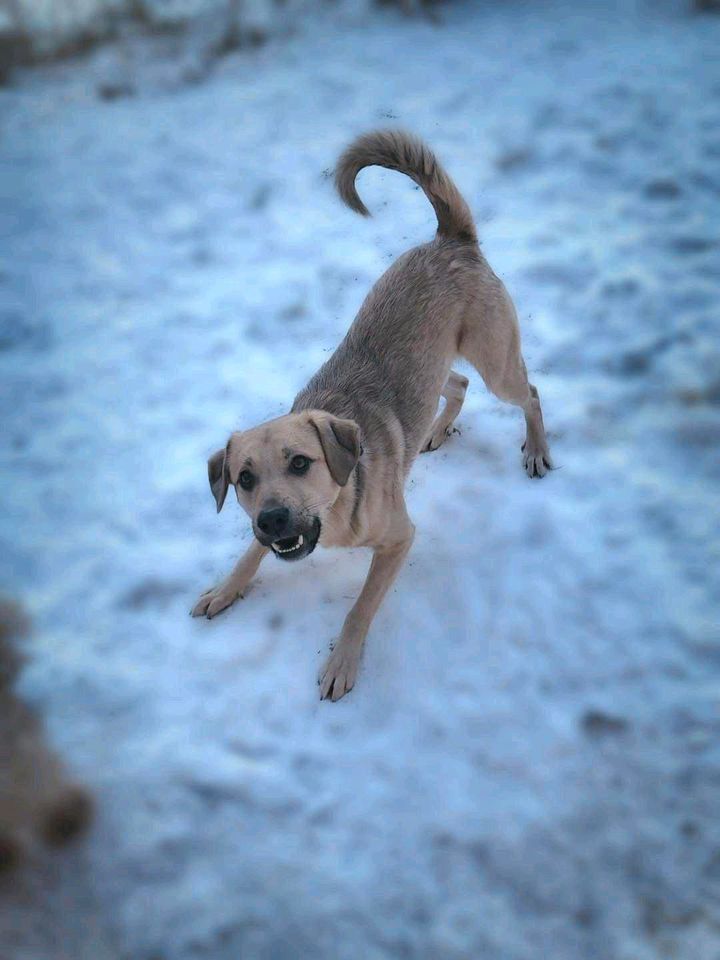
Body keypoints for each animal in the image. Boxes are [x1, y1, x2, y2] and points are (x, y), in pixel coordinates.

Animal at [191, 129, 552, 696]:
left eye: (300, 463)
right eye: (243, 479)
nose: (271, 519)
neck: (338, 503)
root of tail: (452, 240)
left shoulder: (399, 541)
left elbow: (359, 608)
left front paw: (342, 663)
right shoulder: (266, 532)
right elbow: (249, 553)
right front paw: (225, 589)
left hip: (496, 361)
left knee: (530, 392)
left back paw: (536, 449)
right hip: (436, 364)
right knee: (458, 384)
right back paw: (436, 430)